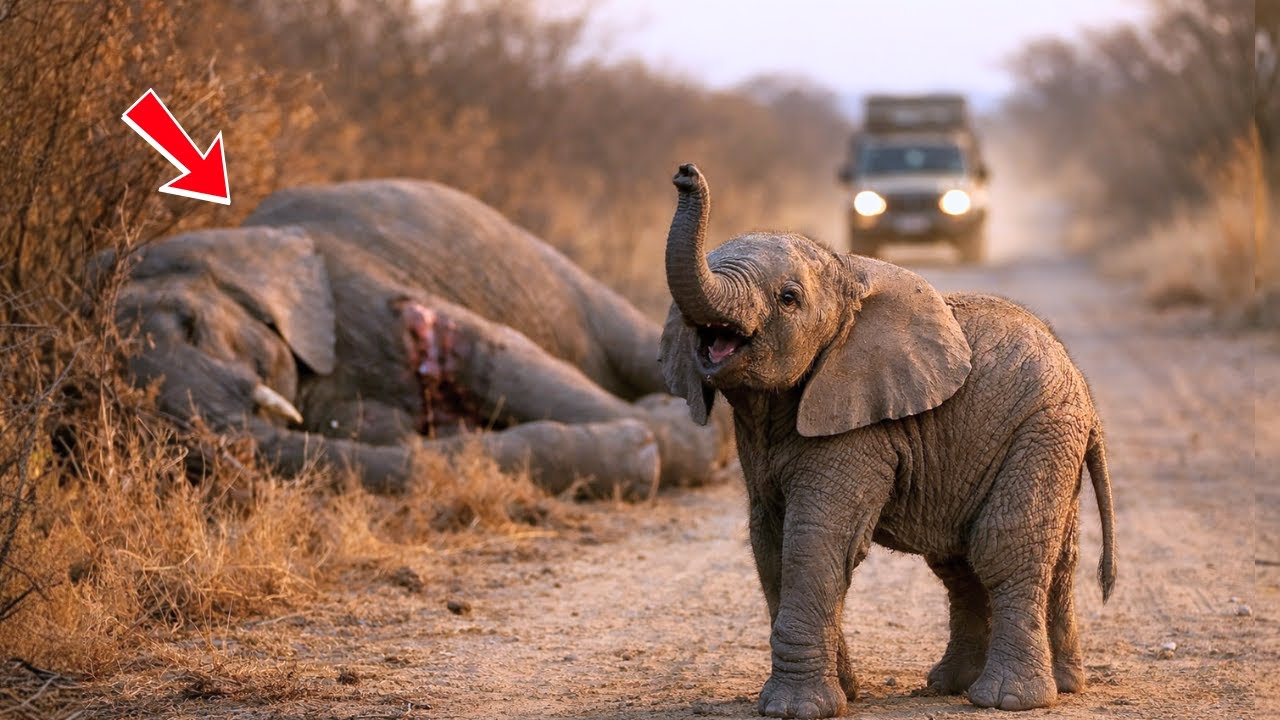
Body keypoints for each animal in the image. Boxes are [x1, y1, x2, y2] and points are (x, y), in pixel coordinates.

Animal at [110, 179, 732, 499]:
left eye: (192, 325)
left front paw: (674, 437)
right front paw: (641, 446)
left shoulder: (355, 283)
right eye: (130, 417)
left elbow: (501, 358)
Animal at [658, 165, 1117, 718]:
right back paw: (987, 685)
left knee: (1003, 546)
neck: (844, 277)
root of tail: (1083, 387)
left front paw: (796, 710)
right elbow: (769, 542)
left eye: (788, 298)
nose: (685, 173)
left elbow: (815, 539)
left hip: (1043, 427)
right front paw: (845, 694)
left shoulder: (862, 428)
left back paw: (1007, 698)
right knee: (983, 560)